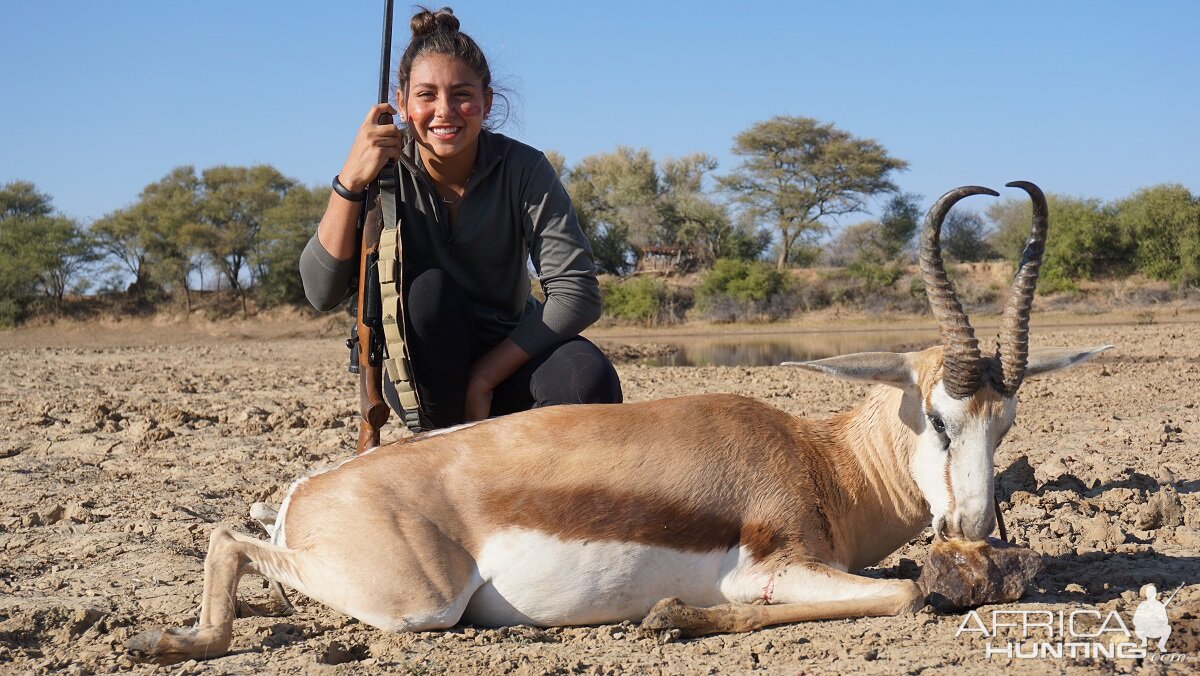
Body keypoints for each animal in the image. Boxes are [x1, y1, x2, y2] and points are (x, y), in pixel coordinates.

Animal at [129, 181, 1104, 667]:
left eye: (1007, 423)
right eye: (938, 417)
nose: (973, 527)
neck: (819, 460)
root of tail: (313, 490)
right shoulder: (774, 569)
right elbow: (903, 593)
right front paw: (673, 619)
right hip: (416, 604)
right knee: (227, 535)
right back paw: (168, 640)